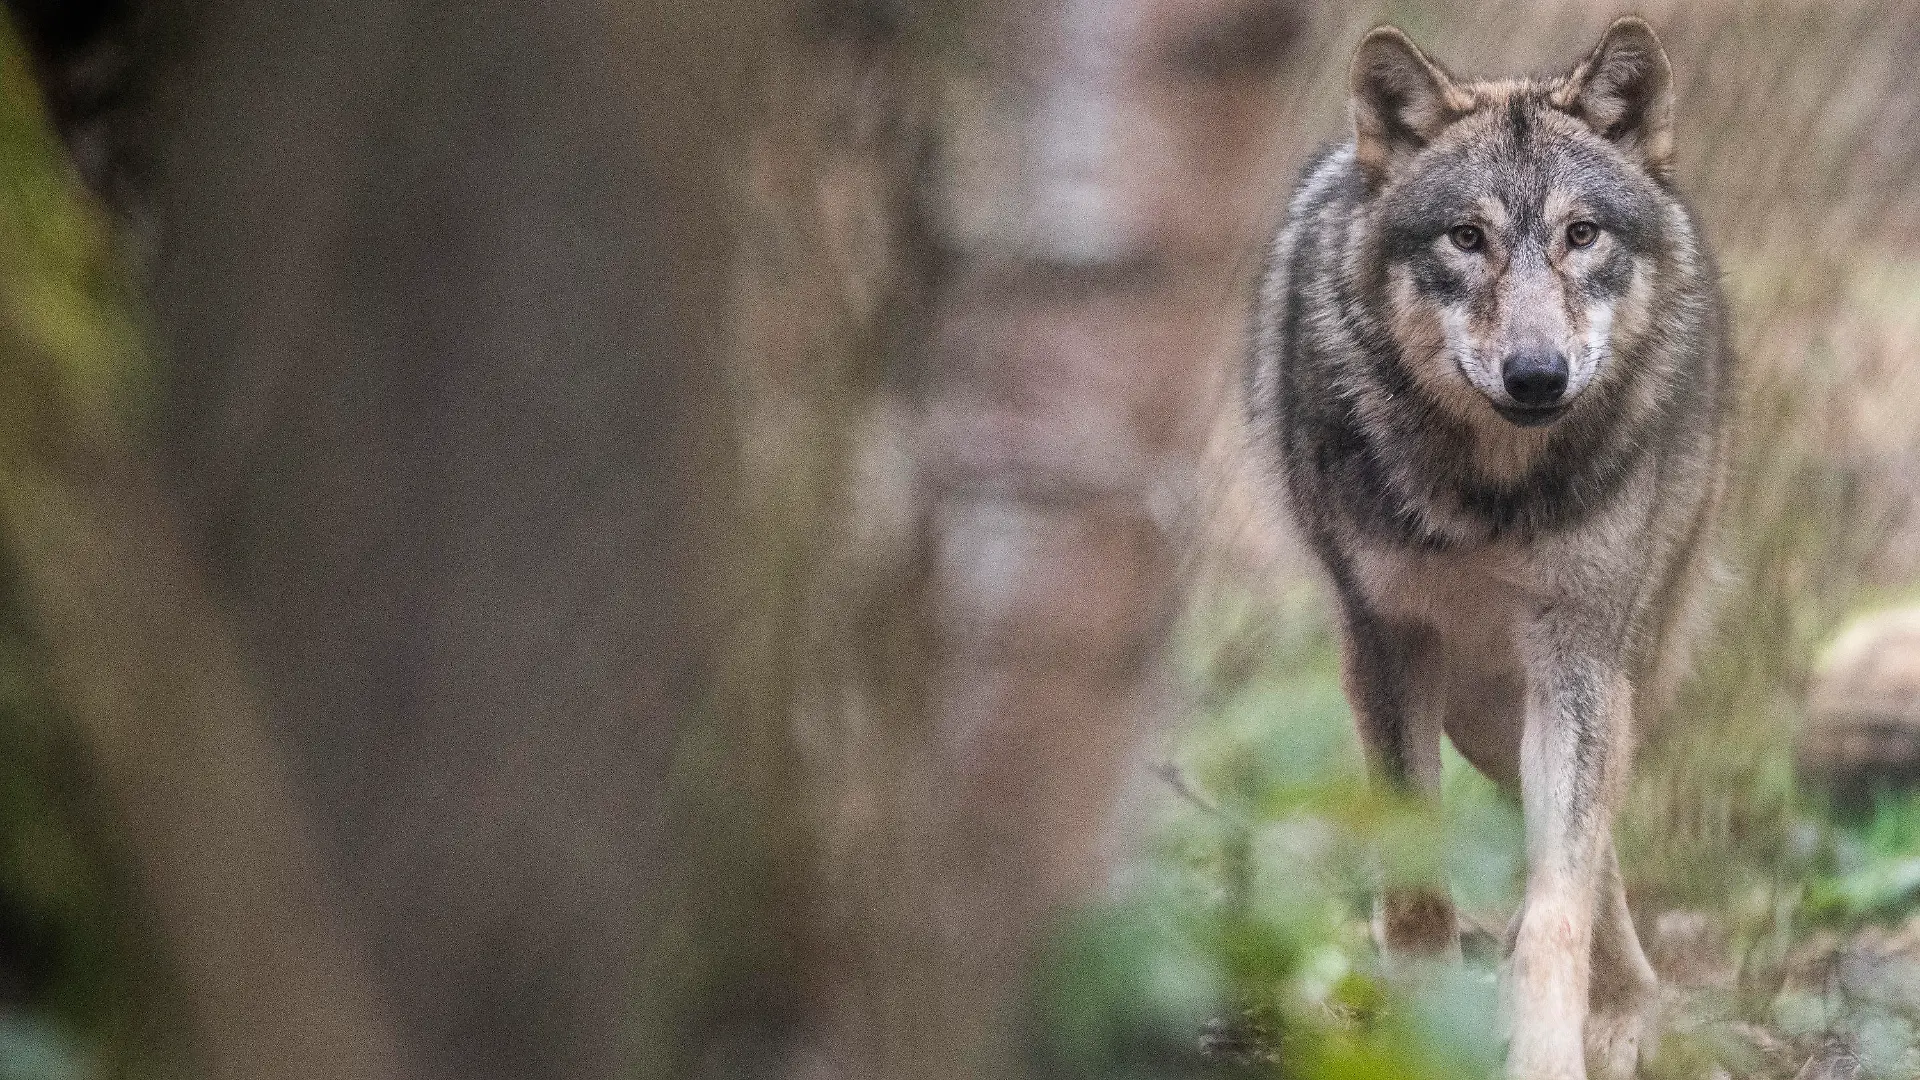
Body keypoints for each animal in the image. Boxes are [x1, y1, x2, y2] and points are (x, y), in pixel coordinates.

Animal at [1247, 16, 1730, 1080]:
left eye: (1581, 235)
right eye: (1466, 238)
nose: (1537, 374)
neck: (1490, 497)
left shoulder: (1578, 663)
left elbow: (1558, 906)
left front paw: (1547, 1046)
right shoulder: (1384, 647)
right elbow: (1416, 888)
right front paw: (1422, 1029)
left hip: (1584, 683)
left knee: (1586, 862)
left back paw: (1621, 1012)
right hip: (1483, 714)